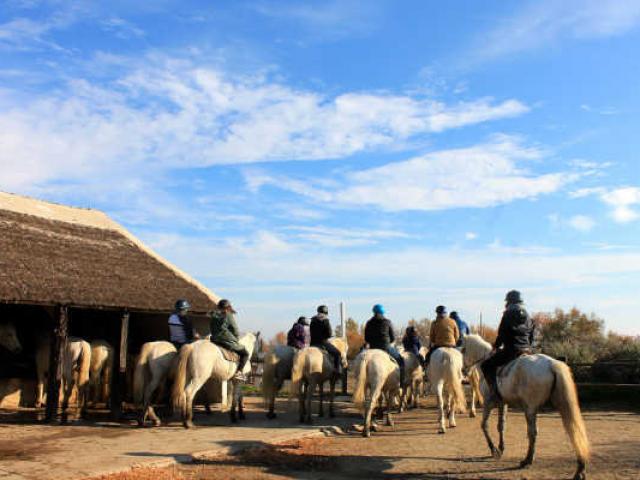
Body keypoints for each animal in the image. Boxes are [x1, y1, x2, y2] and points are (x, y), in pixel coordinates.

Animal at [460, 334, 592, 480]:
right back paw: (580, 469)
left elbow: (484, 425)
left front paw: (494, 450)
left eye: (463, 350)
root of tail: (551, 364)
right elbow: (501, 426)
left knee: (533, 432)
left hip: (530, 409)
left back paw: (527, 460)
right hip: (551, 406)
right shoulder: (503, 403)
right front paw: (501, 448)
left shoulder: (488, 404)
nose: (463, 371)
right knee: (571, 430)